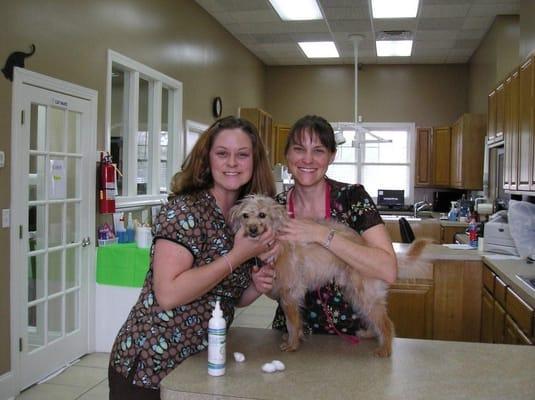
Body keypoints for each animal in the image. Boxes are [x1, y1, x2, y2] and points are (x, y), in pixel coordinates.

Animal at [228, 194, 430, 356]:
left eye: (262, 215)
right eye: (245, 216)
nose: (252, 229)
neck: (278, 236)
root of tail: (367, 246)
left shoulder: (290, 293)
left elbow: (292, 322)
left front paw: (292, 344)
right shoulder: (288, 295)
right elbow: (293, 322)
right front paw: (294, 338)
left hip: (365, 294)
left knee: (386, 323)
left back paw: (385, 349)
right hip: (355, 294)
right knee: (373, 319)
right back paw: (369, 334)